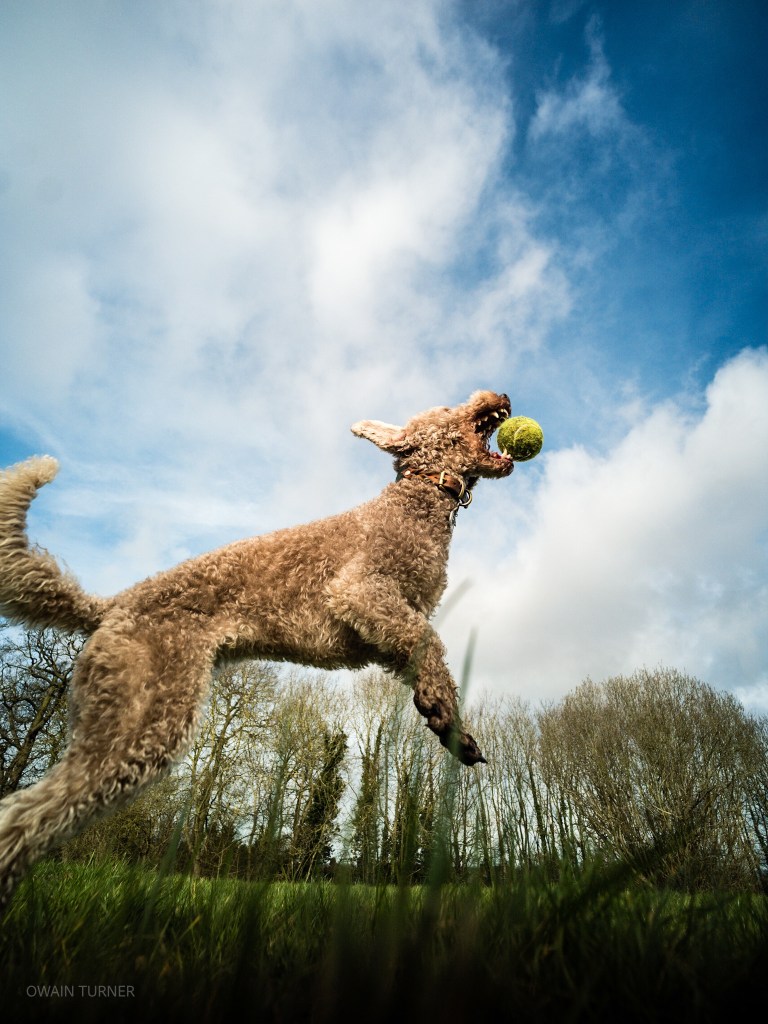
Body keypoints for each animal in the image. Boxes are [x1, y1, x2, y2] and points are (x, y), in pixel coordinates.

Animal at [0, 390, 513, 906]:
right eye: (449, 408)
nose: (502, 396)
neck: (418, 499)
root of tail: (109, 607)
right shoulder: (360, 592)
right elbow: (429, 641)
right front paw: (445, 714)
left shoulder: (385, 636)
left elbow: (420, 655)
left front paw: (443, 720)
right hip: (143, 718)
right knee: (30, 814)